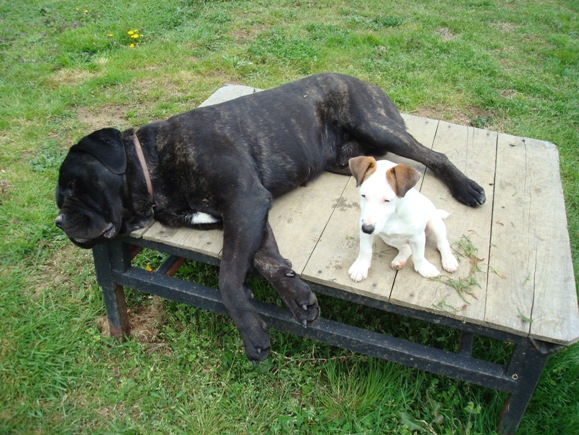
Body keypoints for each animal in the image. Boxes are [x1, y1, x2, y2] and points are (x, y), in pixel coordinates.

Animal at [55, 73, 484, 362]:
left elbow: (228, 276)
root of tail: (365, 82)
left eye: (73, 189)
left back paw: (467, 187)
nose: (60, 221)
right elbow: (266, 259)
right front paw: (297, 296)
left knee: (432, 156)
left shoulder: (245, 200)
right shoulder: (242, 215)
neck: (153, 163)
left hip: (374, 124)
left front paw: (251, 333)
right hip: (346, 158)